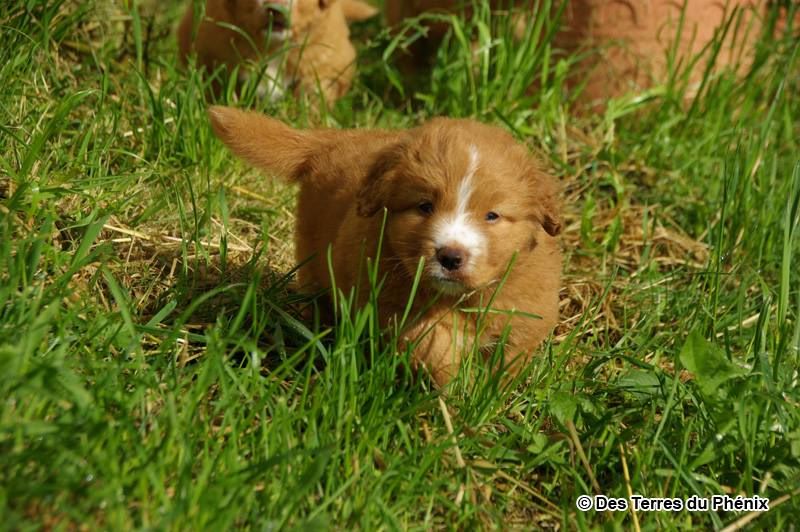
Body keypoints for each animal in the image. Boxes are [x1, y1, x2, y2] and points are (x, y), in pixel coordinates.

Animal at [208, 105, 562, 386]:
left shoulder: (526, 314)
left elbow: (507, 359)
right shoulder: (392, 305)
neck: (458, 299)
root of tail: (335, 139)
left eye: (492, 216)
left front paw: (484, 394)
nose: (450, 256)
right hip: (314, 260)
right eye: (424, 206)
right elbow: (435, 345)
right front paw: (457, 389)